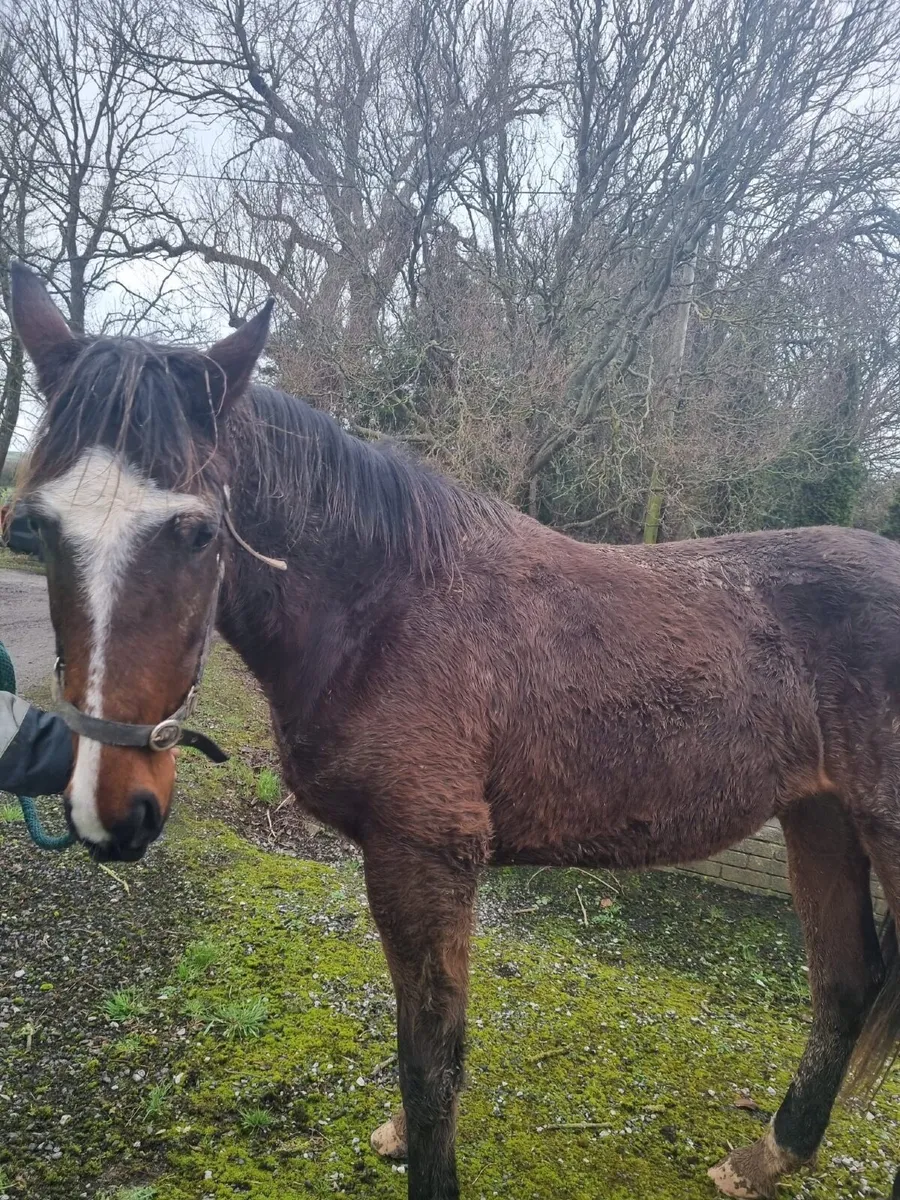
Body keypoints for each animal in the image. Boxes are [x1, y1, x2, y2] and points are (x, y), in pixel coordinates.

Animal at [9, 260, 900, 1200]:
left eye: (197, 531)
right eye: (39, 526)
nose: (110, 809)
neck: (386, 606)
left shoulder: (426, 859)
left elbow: (430, 1063)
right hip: (819, 818)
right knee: (844, 982)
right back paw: (770, 1155)